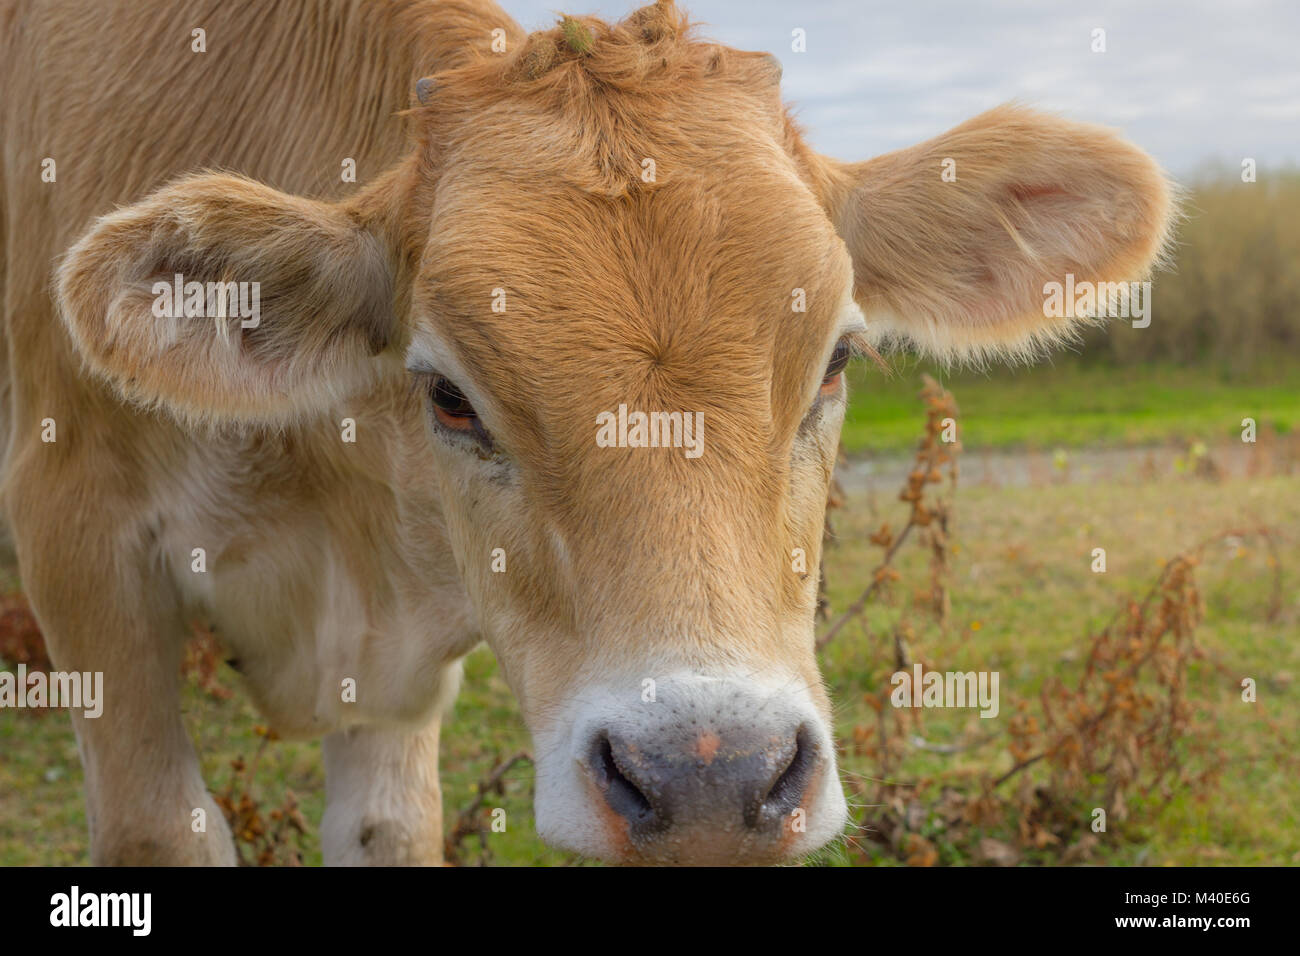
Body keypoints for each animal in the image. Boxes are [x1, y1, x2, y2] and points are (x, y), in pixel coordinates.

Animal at [0, 0, 1174, 865]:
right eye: (448, 394)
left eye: (837, 357)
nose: (710, 778)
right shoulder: (76, 532)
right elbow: (163, 825)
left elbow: (389, 827)